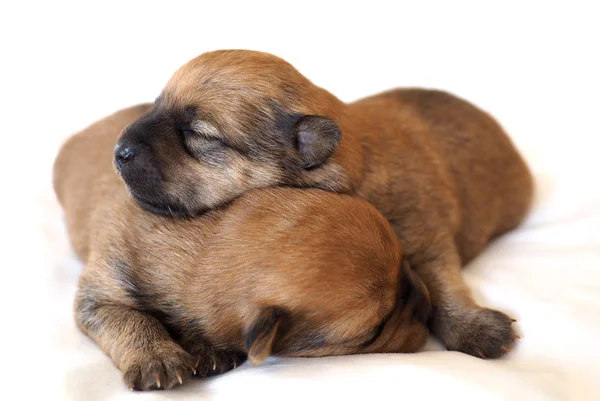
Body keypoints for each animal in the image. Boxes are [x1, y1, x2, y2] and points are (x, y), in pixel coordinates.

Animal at [52, 104, 432, 390]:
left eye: (407, 263)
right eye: (374, 331)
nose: (428, 304)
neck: (204, 245)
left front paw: (205, 349)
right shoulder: (99, 296)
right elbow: (131, 320)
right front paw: (158, 358)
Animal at [113, 48, 536, 358]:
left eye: (197, 135)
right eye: (155, 107)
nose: (118, 151)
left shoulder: (424, 234)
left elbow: (443, 281)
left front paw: (476, 328)